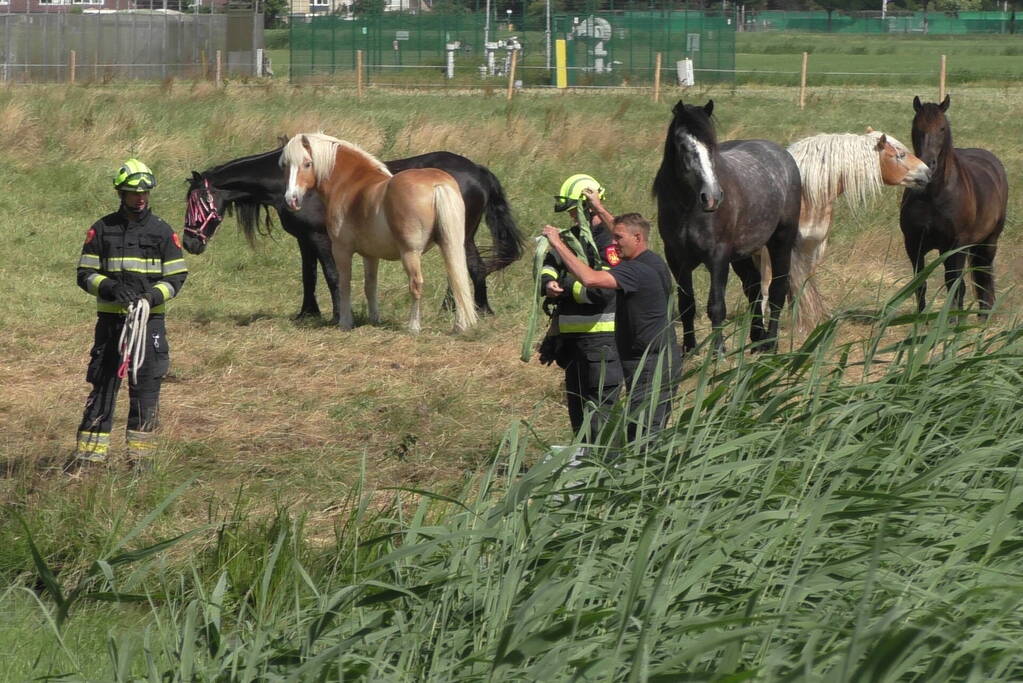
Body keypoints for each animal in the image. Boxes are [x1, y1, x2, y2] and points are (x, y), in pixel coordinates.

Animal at [182, 146, 522, 322]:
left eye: (195, 201)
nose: (188, 242)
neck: (290, 185)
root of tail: (478, 170)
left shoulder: (322, 239)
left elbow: (333, 276)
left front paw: (336, 315)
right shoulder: (304, 240)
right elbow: (309, 276)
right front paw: (307, 313)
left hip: (460, 234)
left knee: (469, 268)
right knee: (470, 268)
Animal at [280, 133, 478, 333]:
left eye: (307, 163)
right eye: (286, 165)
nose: (291, 200)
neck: (350, 185)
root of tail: (436, 184)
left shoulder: (341, 250)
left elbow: (344, 284)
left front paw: (345, 322)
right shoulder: (370, 255)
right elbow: (370, 286)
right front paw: (374, 319)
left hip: (410, 253)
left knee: (416, 284)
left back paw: (413, 327)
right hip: (451, 246)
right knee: (457, 280)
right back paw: (460, 325)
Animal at [654, 99, 801, 354]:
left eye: (712, 145)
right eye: (683, 145)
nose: (712, 197)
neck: (689, 209)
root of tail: (781, 154)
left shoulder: (718, 256)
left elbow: (716, 305)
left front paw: (718, 351)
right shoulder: (676, 258)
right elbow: (686, 304)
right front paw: (689, 348)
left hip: (781, 241)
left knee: (777, 290)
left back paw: (770, 343)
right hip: (742, 255)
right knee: (754, 288)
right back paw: (757, 337)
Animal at [901, 95, 1008, 315]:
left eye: (942, 128)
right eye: (917, 127)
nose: (928, 164)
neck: (933, 196)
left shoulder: (954, 246)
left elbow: (954, 285)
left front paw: (950, 321)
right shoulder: (913, 244)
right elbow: (920, 285)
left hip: (988, 243)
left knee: (984, 280)